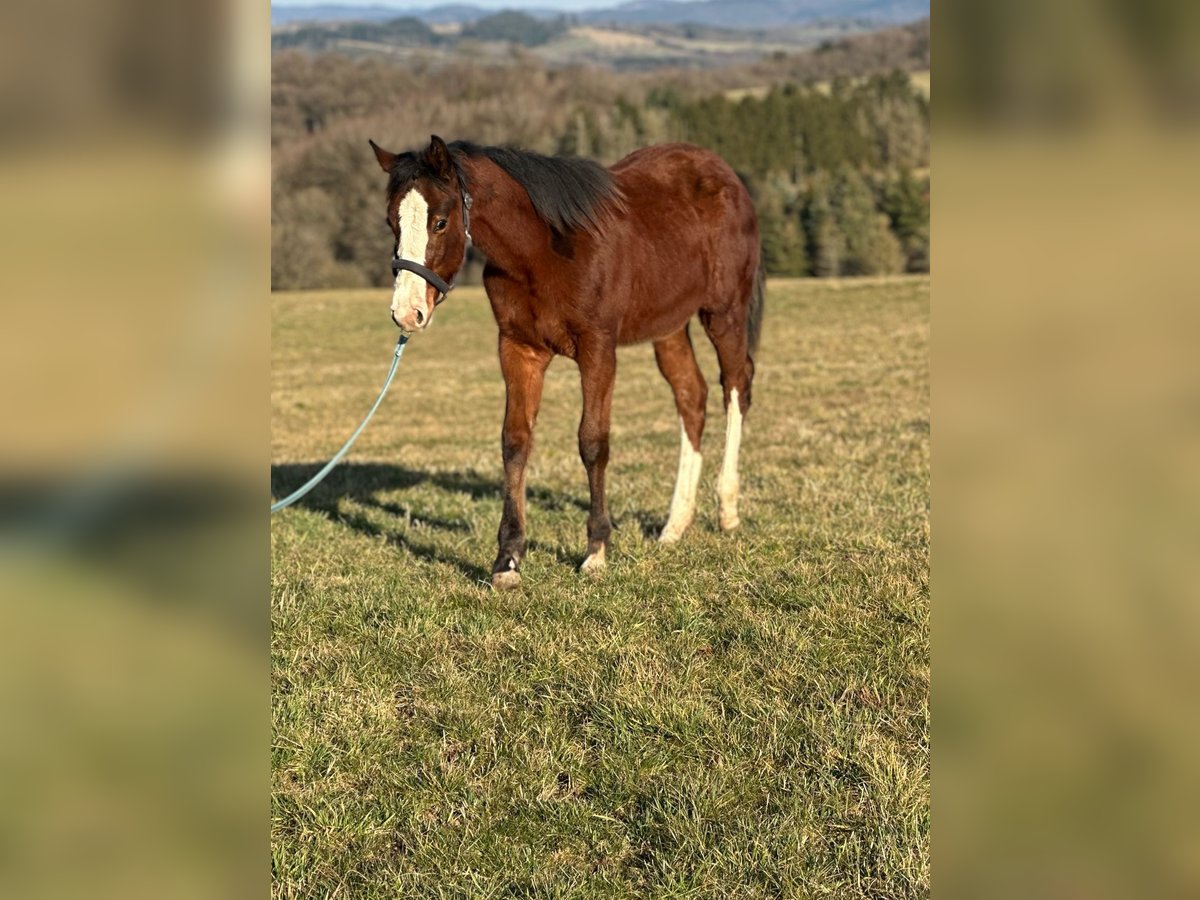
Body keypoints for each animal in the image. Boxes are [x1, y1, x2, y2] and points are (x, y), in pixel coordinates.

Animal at [364, 133, 763, 592]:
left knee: (735, 388)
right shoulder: (518, 349)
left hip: (724, 312)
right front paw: (508, 559)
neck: (544, 251)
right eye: (391, 223)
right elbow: (515, 442)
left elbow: (592, 443)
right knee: (691, 397)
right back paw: (675, 525)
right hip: (670, 328)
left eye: (441, 222)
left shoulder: (598, 349)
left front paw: (596, 551)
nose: (406, 313)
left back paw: (727, 510)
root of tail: (725, 176)